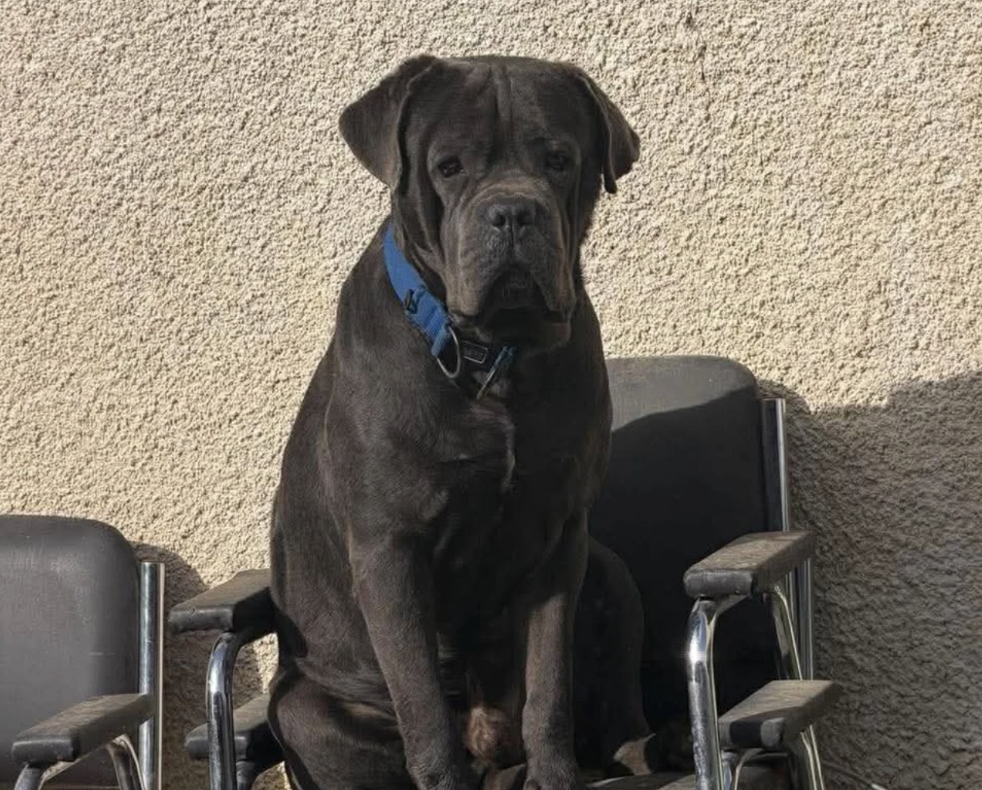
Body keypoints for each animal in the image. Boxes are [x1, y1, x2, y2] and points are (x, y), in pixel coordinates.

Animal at [268, 55, 650, 790]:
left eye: (559, 159)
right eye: (448, 166)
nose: (513, 212)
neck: (492, 358)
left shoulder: (563, 535)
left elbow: (549, 686)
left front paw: (557, 775)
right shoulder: (391, 548)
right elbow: (420, 701)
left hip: (608, 568)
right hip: (303, 707)